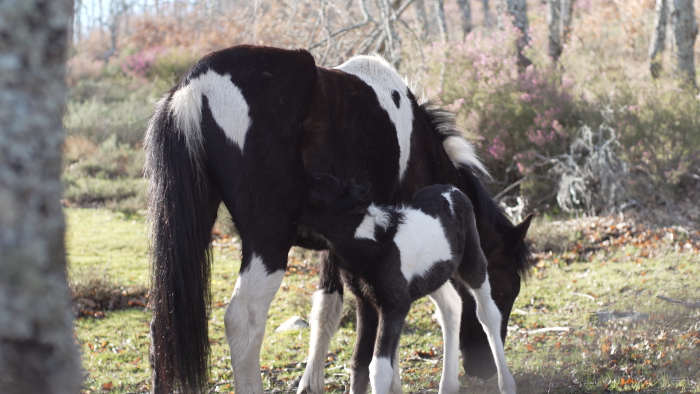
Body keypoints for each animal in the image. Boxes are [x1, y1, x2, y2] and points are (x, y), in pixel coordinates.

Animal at [300, 175, 516, 394]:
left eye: (317, 196)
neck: (372, 246)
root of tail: (451, 189)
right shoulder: (366, 302)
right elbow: (358, 362)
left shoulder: (395, 304)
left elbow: (379, 367)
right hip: (434, 276)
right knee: (452, 306)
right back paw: (448, 385)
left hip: (472, 261)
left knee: (488, 313)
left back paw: (507, 384)